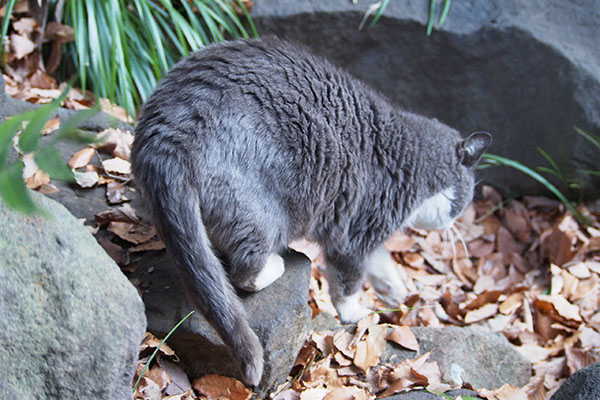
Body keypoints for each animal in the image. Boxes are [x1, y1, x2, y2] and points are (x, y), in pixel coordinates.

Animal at [130, 38, 488, 388]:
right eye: (467, 197)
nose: (457, 221)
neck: (409, 161)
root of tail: (169, 131)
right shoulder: (356, 232)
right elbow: (348, 283)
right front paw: (356, 313)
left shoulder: (368, 234)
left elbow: (381, 263)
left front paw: (396, 290)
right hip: (262, 214)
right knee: (244, 271)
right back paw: (275, 264)